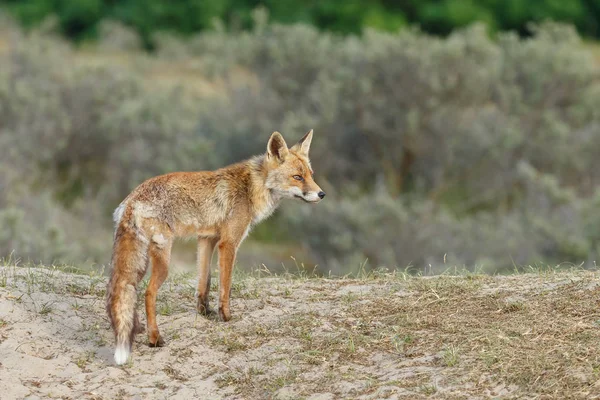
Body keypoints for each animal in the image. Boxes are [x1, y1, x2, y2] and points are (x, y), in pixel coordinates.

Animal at [105, 130, 326, 366]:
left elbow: (204, 281)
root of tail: (131, 200)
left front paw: (205, 312)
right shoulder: (228, 243)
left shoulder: (206, 239)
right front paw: (226, 316)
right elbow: (225, 285)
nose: (322, 194)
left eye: (311, 175)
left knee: (125, 291)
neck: (250, 188)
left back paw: (137, 329)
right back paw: (154, 338)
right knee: (148, 293)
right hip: (163, 258)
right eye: (297, 177)